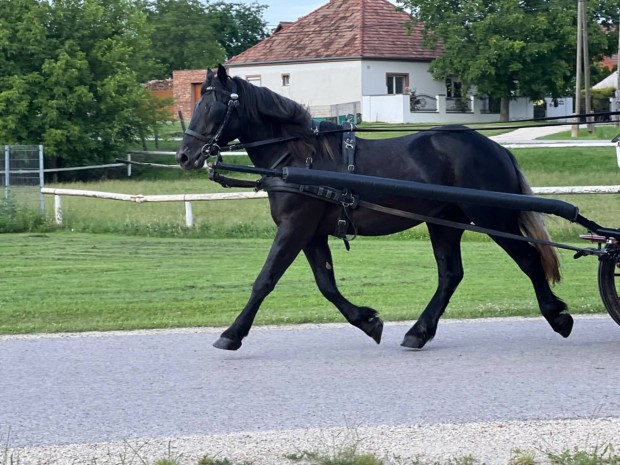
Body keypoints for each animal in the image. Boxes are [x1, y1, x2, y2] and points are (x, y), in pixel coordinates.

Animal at [176, 64, 572, 348]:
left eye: (214, 107)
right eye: (198, 104)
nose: (185, 155)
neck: (299, 157)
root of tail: (496, 148)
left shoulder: (294, 228)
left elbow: (265, 280)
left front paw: (232, 334)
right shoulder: (311, 234)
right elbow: (327, 285)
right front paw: (367, 321)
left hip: (493, 217)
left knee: (529, 260)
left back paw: (557, 315)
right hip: (444, 221)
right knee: (450, 275)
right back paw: (419, 331)